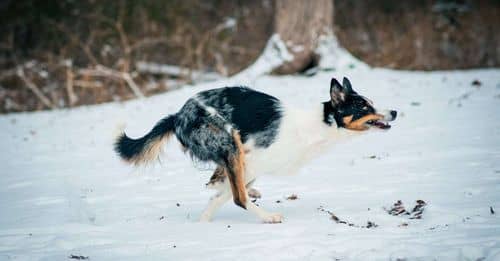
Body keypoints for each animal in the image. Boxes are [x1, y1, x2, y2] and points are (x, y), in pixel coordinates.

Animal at [114, 76, 398, 222]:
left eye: (372, 102)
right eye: (363, 107)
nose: (394, 112)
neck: (319, 125)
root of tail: (177, 116)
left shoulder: (249, 166)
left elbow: (221, 193)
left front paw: (206, 215)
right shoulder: (251, 161)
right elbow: (233, 194)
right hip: (230, 144)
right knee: (239, 197)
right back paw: (268, 216)